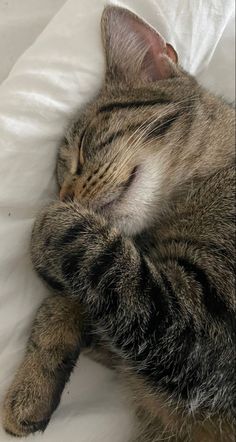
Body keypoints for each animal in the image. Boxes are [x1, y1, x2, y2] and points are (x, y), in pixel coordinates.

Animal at [2, 4, 236, 442]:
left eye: (81, 146)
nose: (65, 196)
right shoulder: (146, 357)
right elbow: (79, 299)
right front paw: (33, 384)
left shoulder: (201, 333)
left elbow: (107, 263)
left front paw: (46, 227)